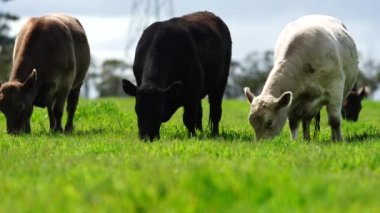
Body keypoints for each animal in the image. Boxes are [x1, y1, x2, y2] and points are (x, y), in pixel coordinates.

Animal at [123, 11, 233, 141]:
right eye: (137, 110)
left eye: (158, 111)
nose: (147, 138)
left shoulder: (191, 93)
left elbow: (188, 119)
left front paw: (192, 136)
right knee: (200, 112)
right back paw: (200, 131)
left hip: (221, 82)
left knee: (215, 110)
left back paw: (215, 134)